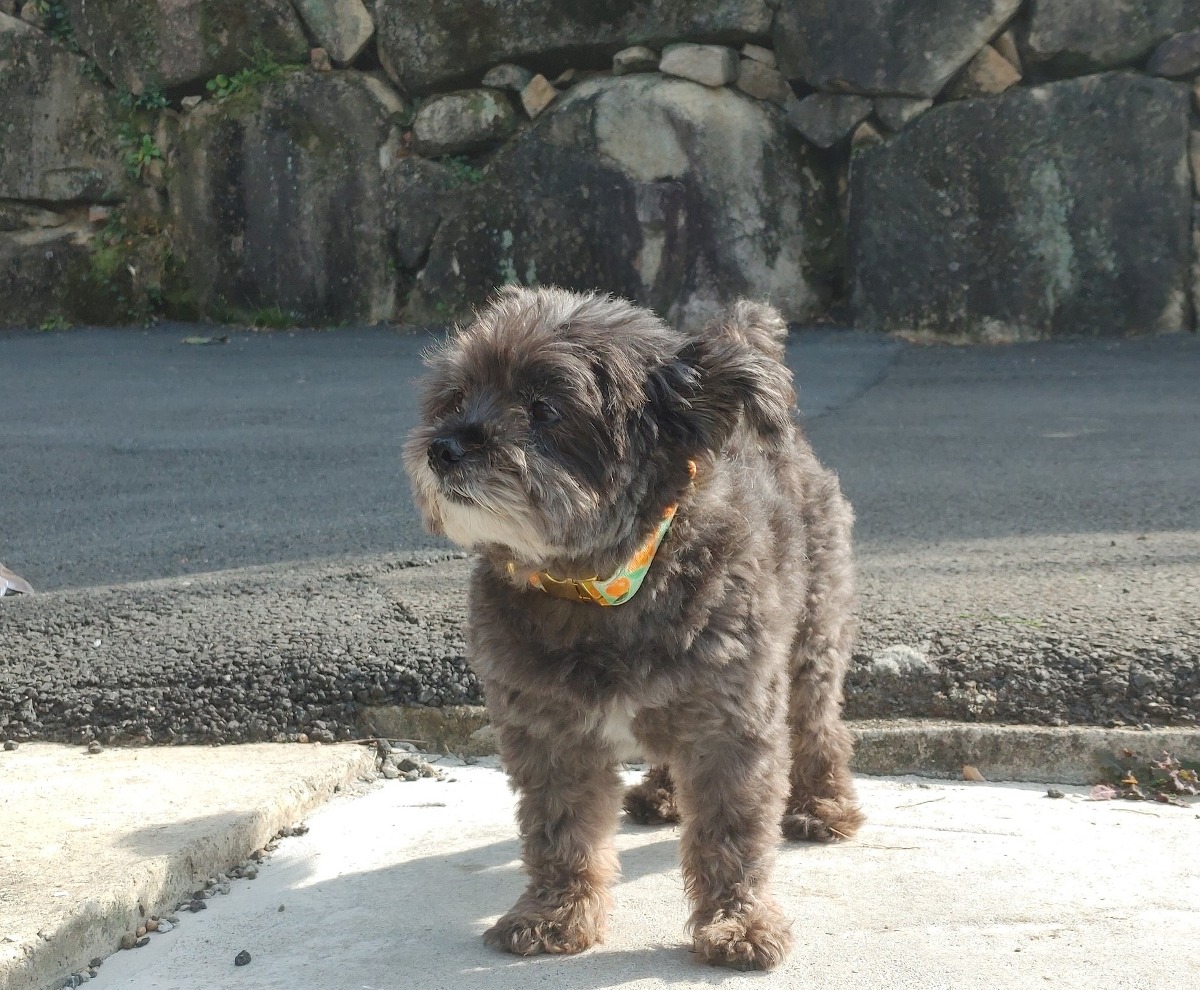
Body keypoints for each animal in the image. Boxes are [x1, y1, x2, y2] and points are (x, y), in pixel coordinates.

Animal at [403, 284, 864, 964]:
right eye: (456, 396)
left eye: (544, 408)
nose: (442, 447)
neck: (597, 585)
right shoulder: (548, 731)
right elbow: (561, 830)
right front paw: (555, 913)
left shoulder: (733, 723)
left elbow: (732, 831)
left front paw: (739, 922)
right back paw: (663, 793)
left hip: (812, 637)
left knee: (818, 725)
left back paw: (823, 804)